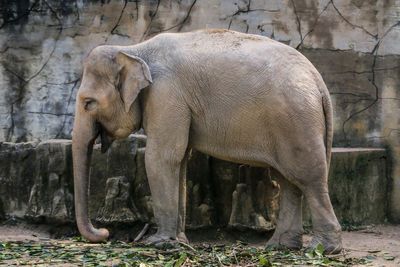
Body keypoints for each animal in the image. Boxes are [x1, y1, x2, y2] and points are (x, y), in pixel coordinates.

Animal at [72, 28, 340, 254]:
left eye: (88, 103)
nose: (104, 232)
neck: (135, 50)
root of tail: (319, 82)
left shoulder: (166, 95)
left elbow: (161, 157)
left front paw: (158, 243)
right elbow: (180, 161)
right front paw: (178, 242)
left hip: (296, 120)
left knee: (308, 178)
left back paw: (323, 249)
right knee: (288, 180)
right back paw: (280, 246)